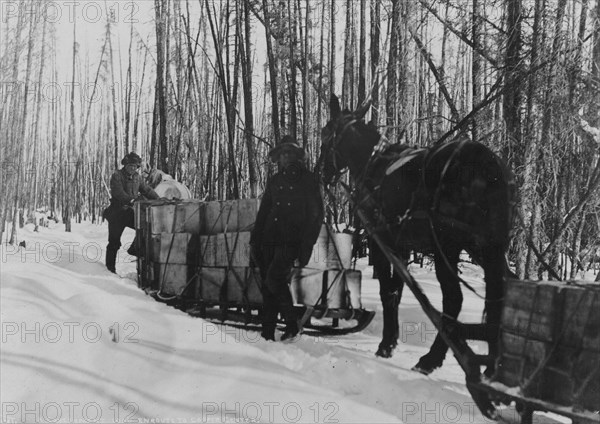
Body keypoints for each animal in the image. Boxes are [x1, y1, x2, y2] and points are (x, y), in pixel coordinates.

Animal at [318, 95, 516, 374]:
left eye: (325, 134)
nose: (321, 171)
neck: (374, 164)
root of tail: (487, 165)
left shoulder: (381, 240)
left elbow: (387, 292)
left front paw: (386, 344)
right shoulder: (402, 246)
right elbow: (397, 291)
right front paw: (391, 340)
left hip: (448, 246)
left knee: (453, 299)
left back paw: (432, 358)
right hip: (488, 249)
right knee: (497, 298)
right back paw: (492, 365)